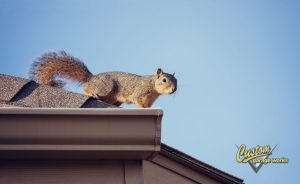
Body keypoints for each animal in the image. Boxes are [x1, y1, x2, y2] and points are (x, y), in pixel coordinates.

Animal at [30, 50, 176, 108]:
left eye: (177, 81)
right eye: (164, 80)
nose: (173, 89)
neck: (152, 85)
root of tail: (92, 78)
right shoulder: (140, 92)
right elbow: (138, 101)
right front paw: (142, 109)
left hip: (113, 98)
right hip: (105, 87)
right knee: (87, 88)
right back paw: (92, 93)